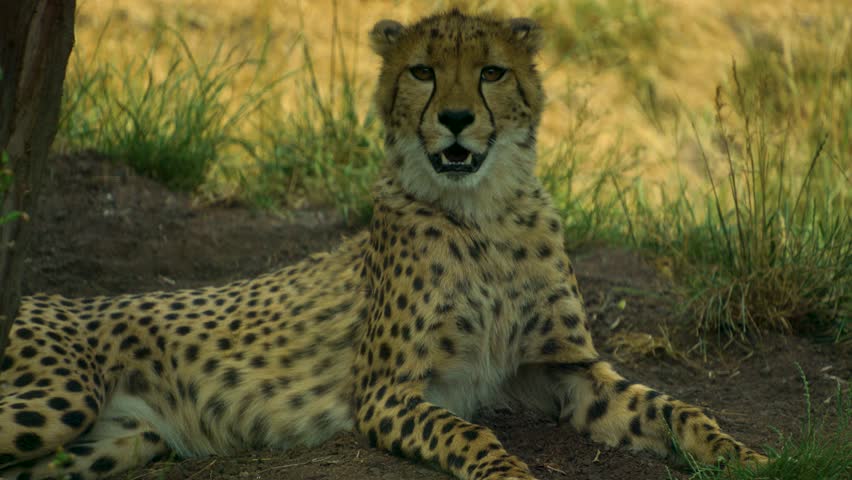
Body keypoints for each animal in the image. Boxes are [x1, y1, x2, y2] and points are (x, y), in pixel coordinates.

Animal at [0, 10, 767, 480]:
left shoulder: (565, 370)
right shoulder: (385, 394)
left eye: (491, 71)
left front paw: (744, 456)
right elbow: (472, 433)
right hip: (65, 392)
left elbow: (675, 407)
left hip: (121, 439)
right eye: (422, 71)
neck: (484, 213)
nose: (455, 119)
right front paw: (508, 469)